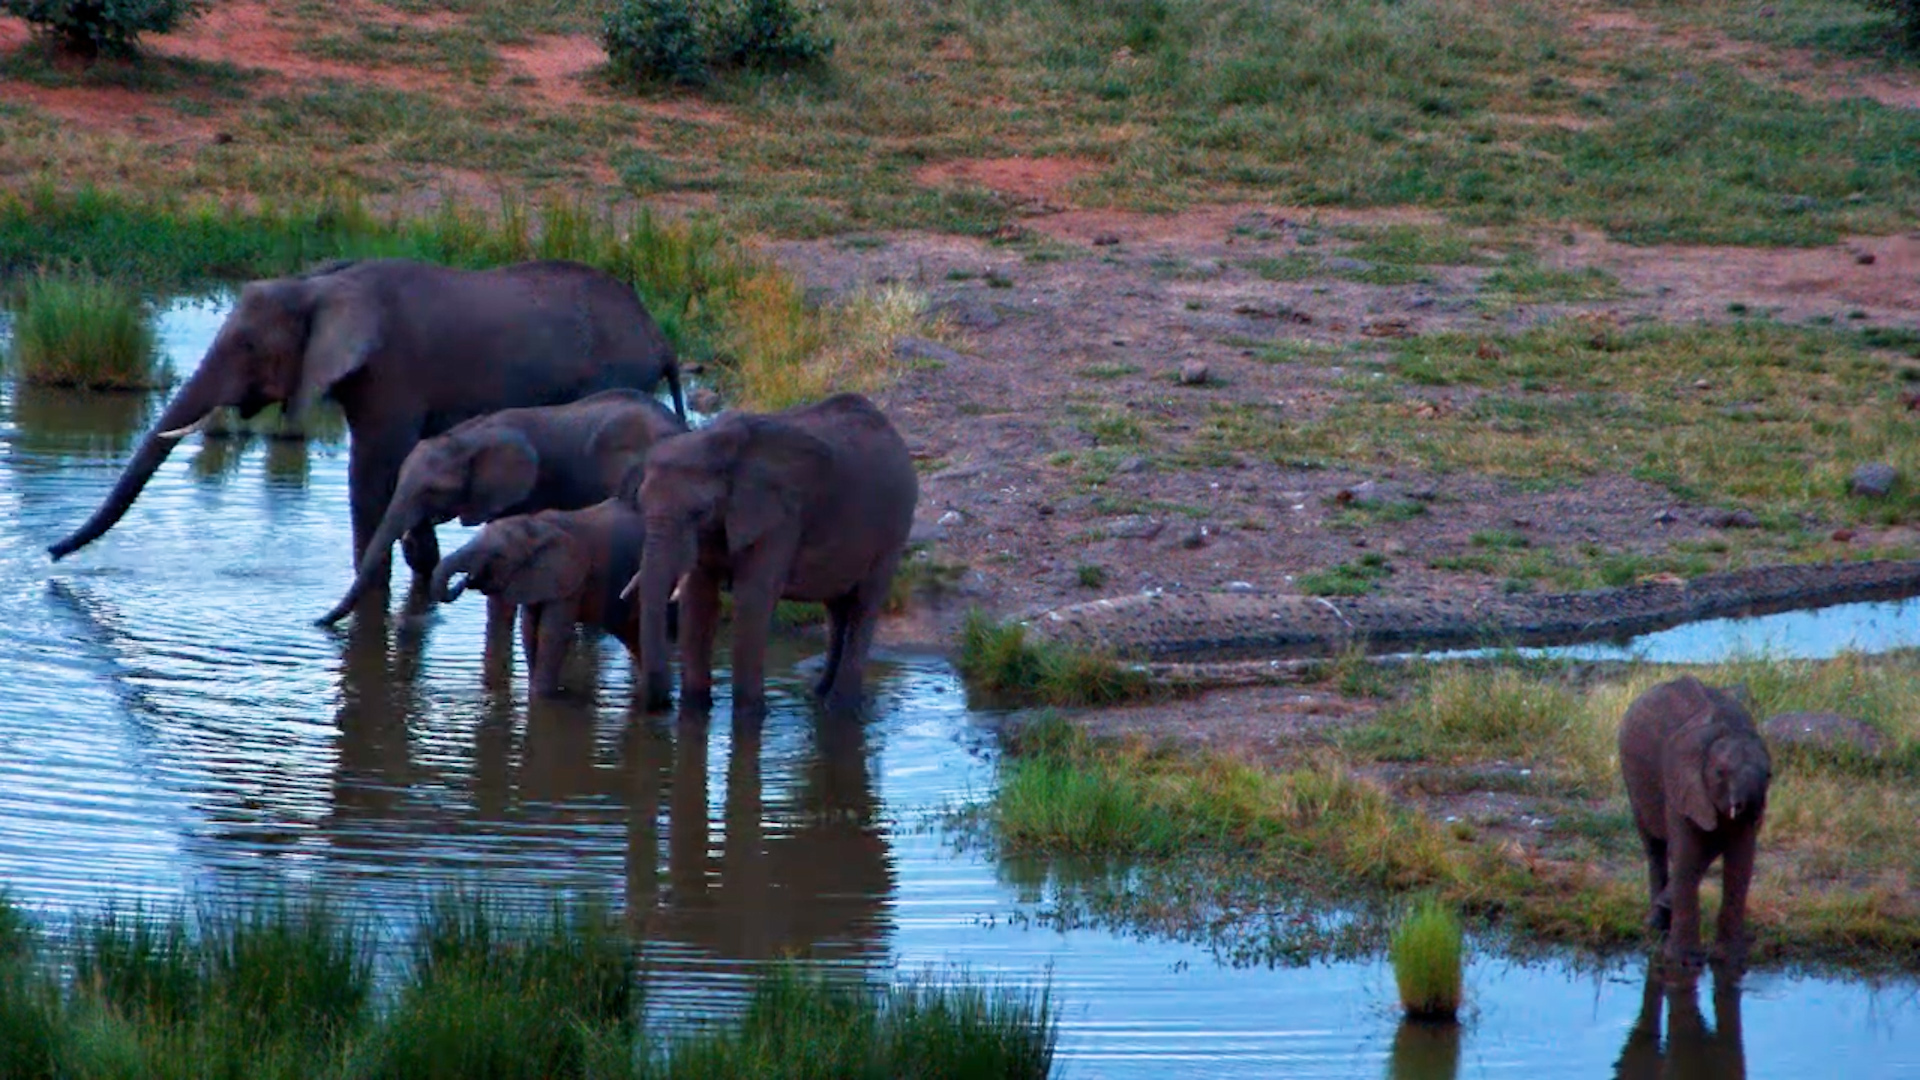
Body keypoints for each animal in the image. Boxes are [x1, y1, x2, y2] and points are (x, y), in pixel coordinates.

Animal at [46, 258, 687, 600]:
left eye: (248, 345)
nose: (50, 554)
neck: (320, 284)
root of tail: (658, 337)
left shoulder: (391, 373)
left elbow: (374, 472)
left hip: (612, 376)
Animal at [430, 498, 669, 700]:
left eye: (499, 555)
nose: (467, 580)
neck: (536, 526)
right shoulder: (536, 577)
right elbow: (529, 629)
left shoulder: (571, 576)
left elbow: (551, 632)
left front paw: (541, 696)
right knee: (633, 634)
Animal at [623, 392, 918, 717]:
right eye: (639, 505)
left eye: (699, 512)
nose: (662, 704)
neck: (717, 442)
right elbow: (699, 599)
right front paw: (695, 709)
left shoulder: (780, 515)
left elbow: (752, 598)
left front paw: (750, 715)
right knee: (837, 608)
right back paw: (820, 696)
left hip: (894, 528)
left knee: (864, 604)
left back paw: (841, 707)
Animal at [1618, 676, 1772, 967]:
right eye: (1720, 773)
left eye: (1769, 775)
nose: (1748, 809)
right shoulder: (1681, 782)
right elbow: (1688, 853)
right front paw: (1684, 961)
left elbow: (1741, 858)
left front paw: (1731, 960)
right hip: (1633, 775)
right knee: (1653, 846)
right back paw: (1656, 923)